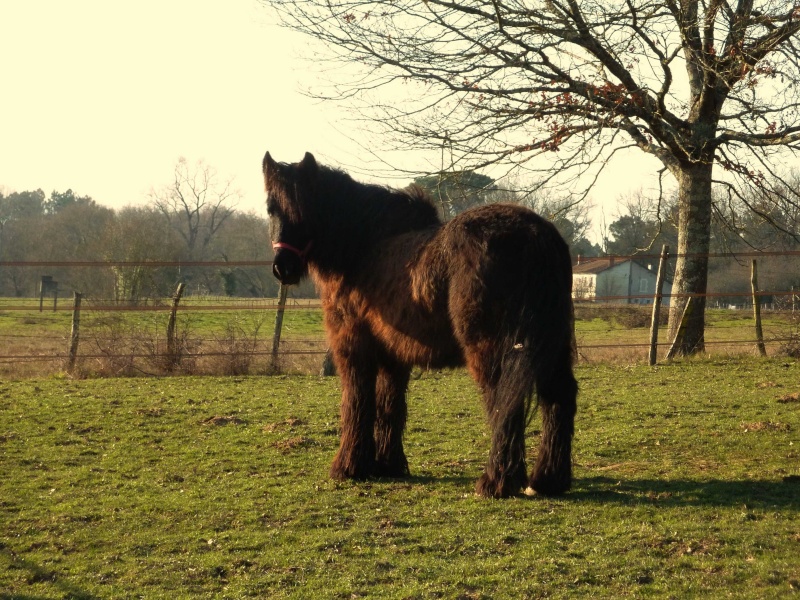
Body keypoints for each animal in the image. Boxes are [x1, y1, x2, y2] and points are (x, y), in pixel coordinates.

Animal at [266, 152, 580, 500]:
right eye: (271, 208)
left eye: (302, 207)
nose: (282, 268)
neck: (365, 247)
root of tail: (536, 235)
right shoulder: (393, 354)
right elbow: (389, 405)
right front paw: (387, 465)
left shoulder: (353, 347)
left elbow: (358, 403)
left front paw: (349, 467)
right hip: (552, 347)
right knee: (559, 399)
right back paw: (548, 480)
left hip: (492, 351)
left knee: (505, 403)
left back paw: (496, 482)